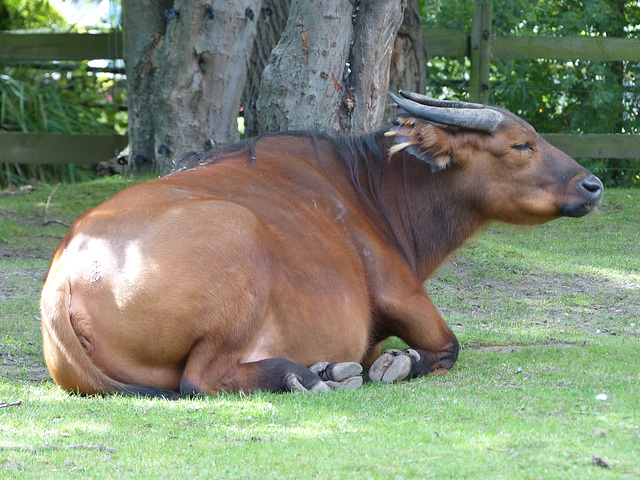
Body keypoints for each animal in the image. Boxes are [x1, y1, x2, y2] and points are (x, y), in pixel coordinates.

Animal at [40, 90, 600, 398]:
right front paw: (399, 364)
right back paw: (309, 377)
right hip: (238, 238)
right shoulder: (401, 294)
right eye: (521, 145)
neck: (367, 189)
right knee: (199, 379)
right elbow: (447, 347)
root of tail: (62, 280)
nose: (592, 185)